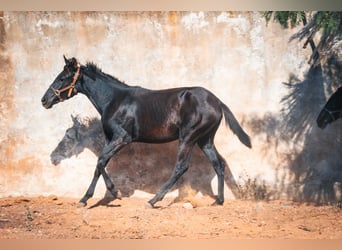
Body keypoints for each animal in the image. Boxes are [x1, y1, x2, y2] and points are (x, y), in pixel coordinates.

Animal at [42, 56, 251, 207]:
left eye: (62, 78)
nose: (44, 100)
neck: (114, 100)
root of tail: (217, 101)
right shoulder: (110, 139)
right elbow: (99, 165)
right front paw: (84, 199)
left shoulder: (122, 138)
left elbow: (100, 162)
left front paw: (116, 193)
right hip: (204, 140)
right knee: (218, 164)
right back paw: (219, 201)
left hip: (188, 137)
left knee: (181, 167)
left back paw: (153, 201)